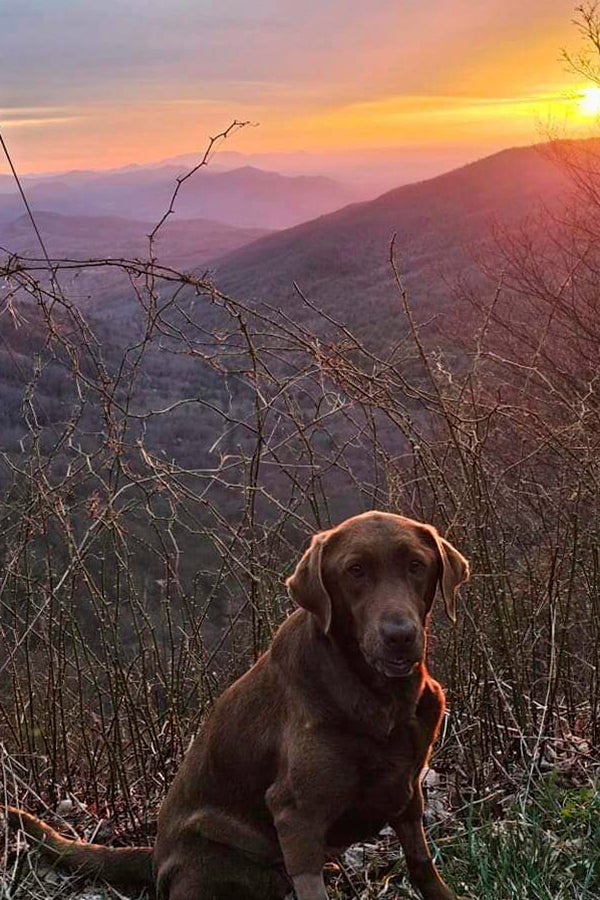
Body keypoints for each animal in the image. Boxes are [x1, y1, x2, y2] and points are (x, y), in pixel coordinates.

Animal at [7, 512, 472, 900]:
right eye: (355, 570)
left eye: (416, 565)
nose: (400, 635)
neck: (383, 697)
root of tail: (154, 856)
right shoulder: (295, 812)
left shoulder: (407, 786)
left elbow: (421, 863)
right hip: (218, 858)